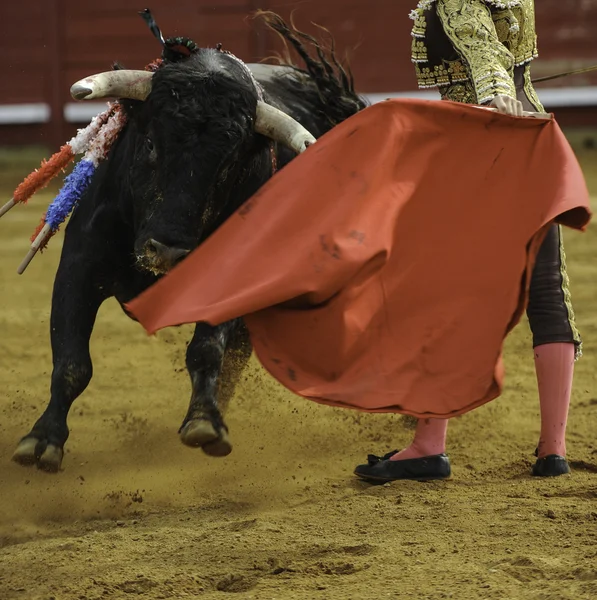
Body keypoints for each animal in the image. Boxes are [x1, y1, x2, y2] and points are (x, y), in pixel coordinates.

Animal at [11, 16, 368, 472]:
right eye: (149, 143)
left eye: (228, 164)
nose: (167, 252)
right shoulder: (79, 267)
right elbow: (72, 362)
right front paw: (42, 441)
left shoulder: (228, 281)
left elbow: (207, 351)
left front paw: (203, 423)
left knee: (232, 360)